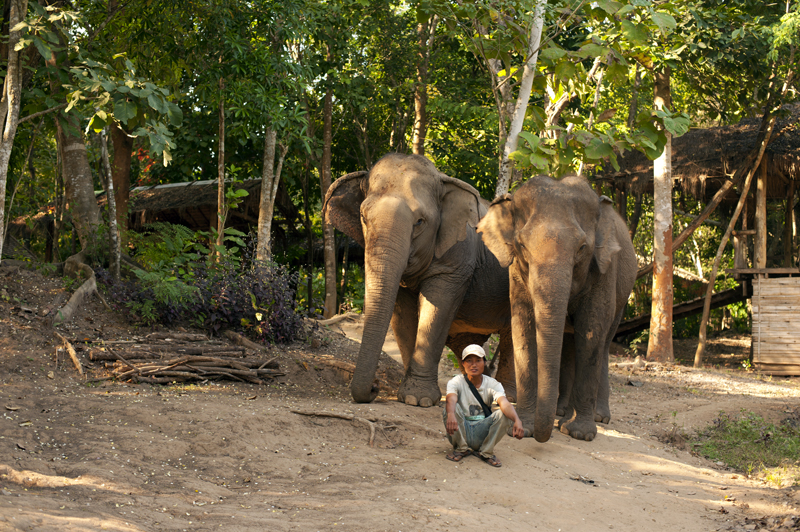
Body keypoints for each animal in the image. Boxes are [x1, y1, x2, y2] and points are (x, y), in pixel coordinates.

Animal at [323, 153, 515, 407]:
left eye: (420, 222)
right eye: (363, 217)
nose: (375, 387)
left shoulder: (457, 258)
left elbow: (436, 310)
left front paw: (418, 398)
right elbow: (402, 315)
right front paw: (408, 395)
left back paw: (510, 398)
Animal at [477, 175, 636, 442]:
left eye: (582, 247)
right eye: (521, 245)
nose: (537, 432)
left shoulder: (604, 271)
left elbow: (591, 331)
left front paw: (580, 434)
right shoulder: (516, 274)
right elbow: (523, 326)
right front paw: (524, 429)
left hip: (623, 296)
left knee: (603, 344)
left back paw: (595, 418)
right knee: (569, 345)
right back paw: (562, 413)